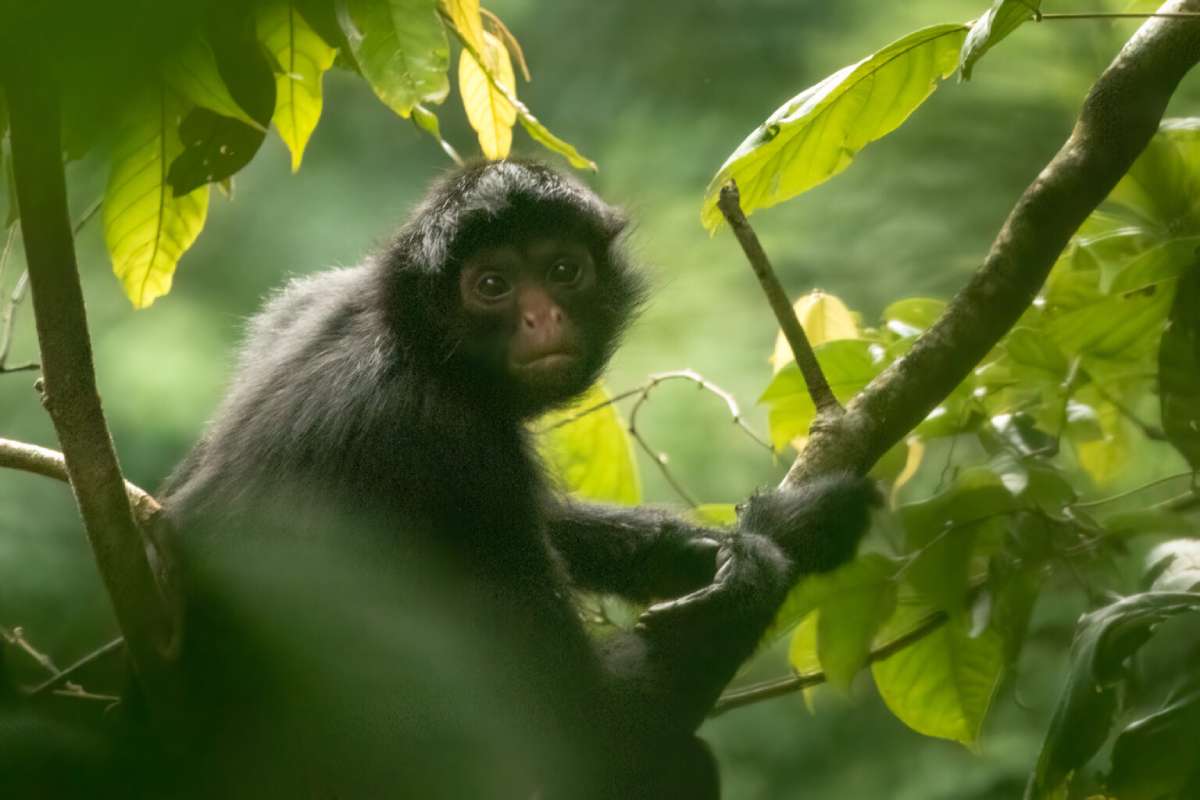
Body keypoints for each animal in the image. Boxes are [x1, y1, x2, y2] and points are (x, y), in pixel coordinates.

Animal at [155, 159, 877, 800]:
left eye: (563, 271)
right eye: (493, 285)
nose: (542, 318)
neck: (407, 339)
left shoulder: (307, 301)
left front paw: (707, 548)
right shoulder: (452, 440)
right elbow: (585, 734)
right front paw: (781, 538)